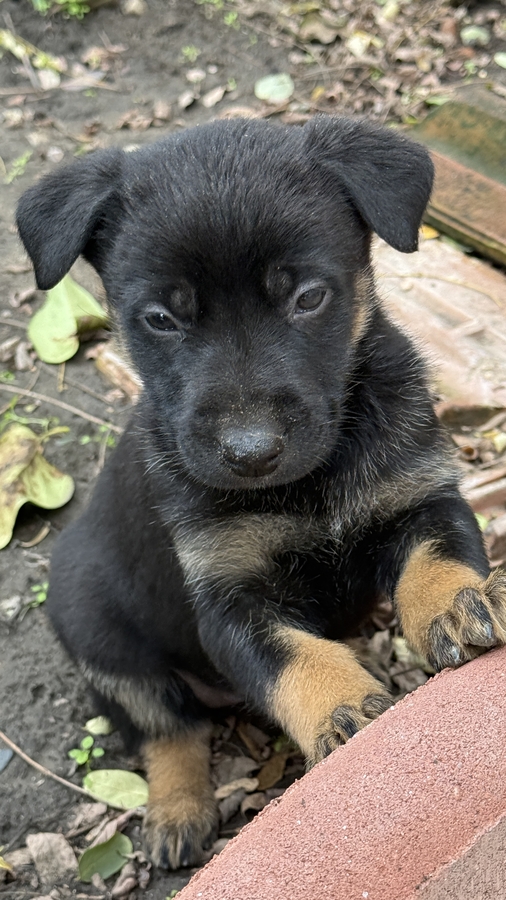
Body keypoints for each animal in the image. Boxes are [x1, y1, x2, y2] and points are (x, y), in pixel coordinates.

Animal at [17, 116, 506, 869]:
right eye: (161, 319)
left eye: (309, 298)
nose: (252, 454)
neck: (310, 481)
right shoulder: (227, 601)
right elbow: (292, 659)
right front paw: (345, 708)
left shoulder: (421, 496)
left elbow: (437, 556)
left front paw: (459, 602)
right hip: (101, 640)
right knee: (168, 731)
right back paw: (177, 812)